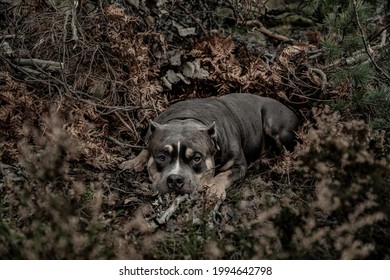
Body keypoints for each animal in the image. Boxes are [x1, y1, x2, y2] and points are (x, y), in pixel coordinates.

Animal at [121, 94, 298, 201]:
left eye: (197, 158)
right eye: (161, 157)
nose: (175, 179)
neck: (187, 117)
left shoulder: (239, 166)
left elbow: (224, 175)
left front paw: (214, 188)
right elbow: (146, 148)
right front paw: (134, 161)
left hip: (274, 123)